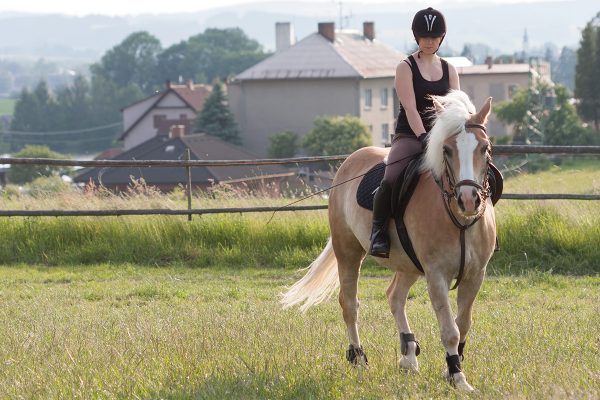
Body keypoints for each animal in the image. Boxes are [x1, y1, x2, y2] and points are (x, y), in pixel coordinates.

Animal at [284, 90, 494, 390]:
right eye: (447, 150)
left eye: (484, 148)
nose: (468, 199)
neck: (458, 219)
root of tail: (349, 162)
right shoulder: (436, 275)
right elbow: (450, 330)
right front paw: (457, 377)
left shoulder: (475, 275)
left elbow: (463, 323)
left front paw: (451, 371)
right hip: (348, 251)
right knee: (349, 304)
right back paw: (358, 358)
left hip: (408, 264)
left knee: (394, 296)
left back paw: (409, 355)